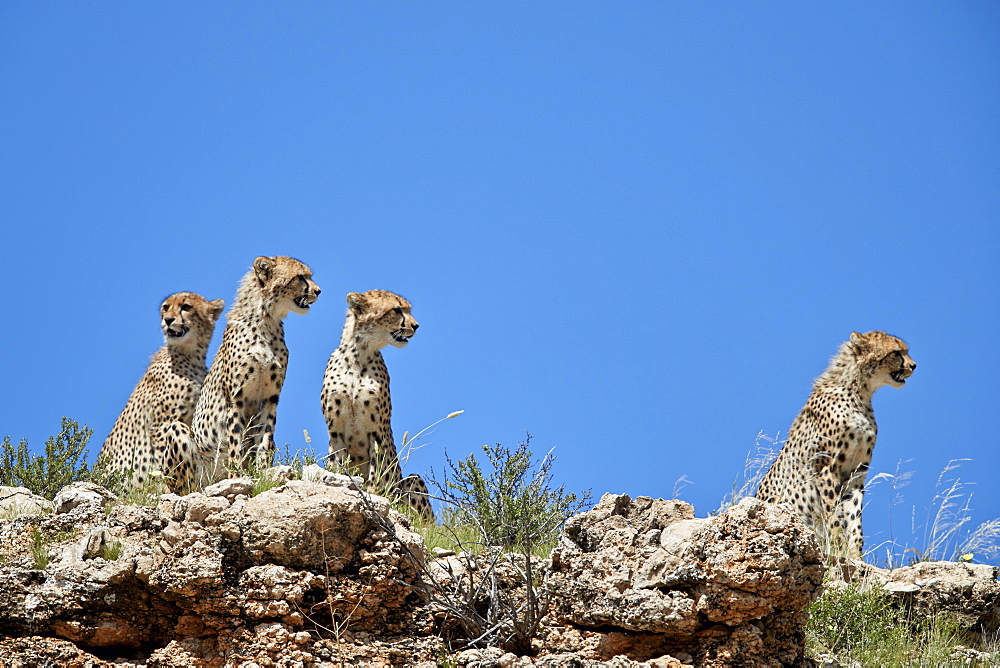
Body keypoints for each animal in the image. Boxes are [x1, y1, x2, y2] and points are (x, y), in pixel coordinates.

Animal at [164, 253, 320, 488]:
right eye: (300, 277)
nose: (318, 291)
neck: (267, 321)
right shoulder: (236, 398)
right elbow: (235, 440)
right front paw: (237, 476)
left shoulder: (271, 399)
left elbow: (265, 439)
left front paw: (264, 473)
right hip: (180, 437)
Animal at [318, 290, 432, 520]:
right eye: (396, 310)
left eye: (408, 309)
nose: (416, 325)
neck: (358, 355)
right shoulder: (335, 430)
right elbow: (335, 464)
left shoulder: (378, 432)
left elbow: (376, 471)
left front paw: (373, 495)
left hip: (413, 481)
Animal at [756, 330, 916, 560]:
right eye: (896, 353)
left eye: (905, 351)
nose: (914, 365)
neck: (859, 393)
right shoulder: (826, 469)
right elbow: (835, 515)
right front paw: (839, 549)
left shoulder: (856, 474)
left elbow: (854, 518)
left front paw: (855, 556)